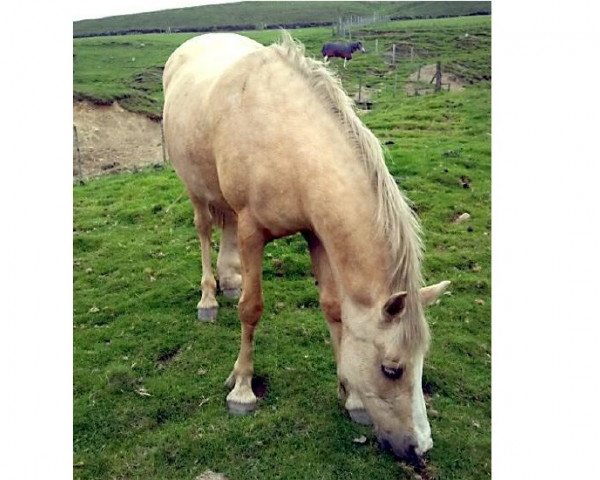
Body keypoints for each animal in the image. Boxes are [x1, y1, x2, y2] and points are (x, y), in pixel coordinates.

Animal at [162, 31, 448, 460]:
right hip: (195, 187)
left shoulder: (316, 233)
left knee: (223, 226)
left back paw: (229, 281)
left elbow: (333, 308)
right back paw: (209, 298)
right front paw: (243, 389)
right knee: (204, 229)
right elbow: (251, 309)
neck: (288, 143)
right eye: (391, 369)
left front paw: (352, 399)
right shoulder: (252, 231)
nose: (420, 447)